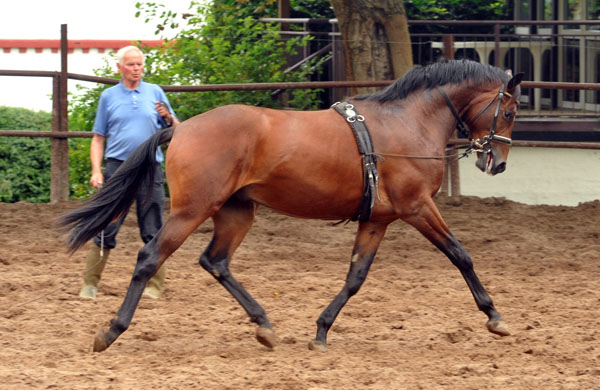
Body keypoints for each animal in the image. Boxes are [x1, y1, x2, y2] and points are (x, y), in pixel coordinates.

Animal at [58, 58, 524, 354]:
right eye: (510, 110)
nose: (498, 162)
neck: (407, 122)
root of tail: (181, 128)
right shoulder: (418, 208)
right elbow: (461, 255)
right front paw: (495, 317)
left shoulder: (379, 219)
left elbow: (355, 278)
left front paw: (321, 331)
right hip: (192, 210)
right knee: (150, 257)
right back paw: (111, 331)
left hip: (236, 212)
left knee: (216, 261)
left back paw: (264, 326)